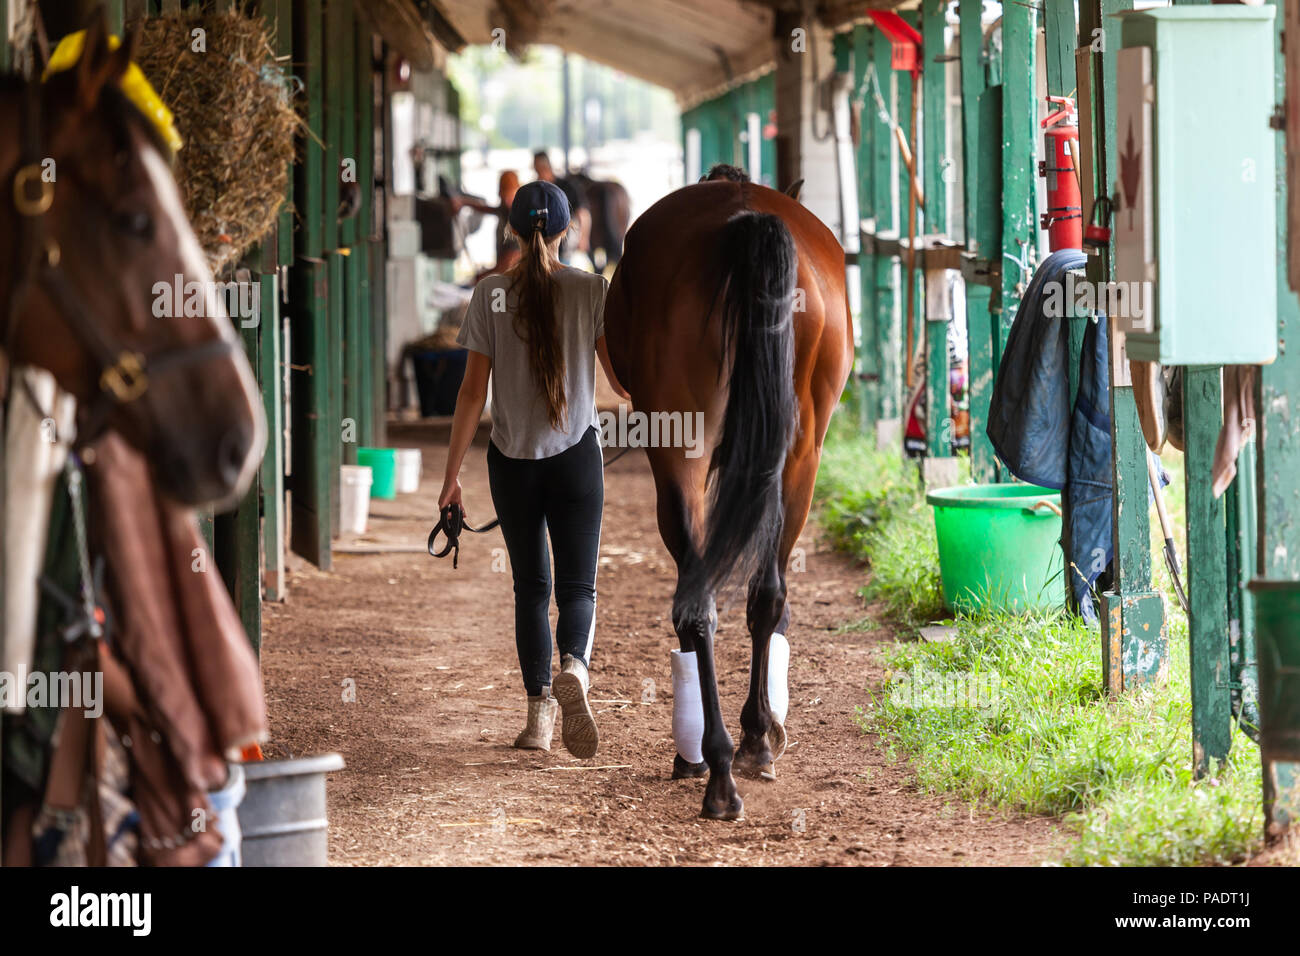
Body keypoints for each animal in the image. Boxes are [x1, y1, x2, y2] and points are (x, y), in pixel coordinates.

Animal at [605, 170, 857, 816]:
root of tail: (742, 216)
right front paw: (755, 736)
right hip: (800, 455)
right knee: (761, 595)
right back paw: (742, 751)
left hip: (682, 453)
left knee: (700, 597)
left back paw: (716, 763)